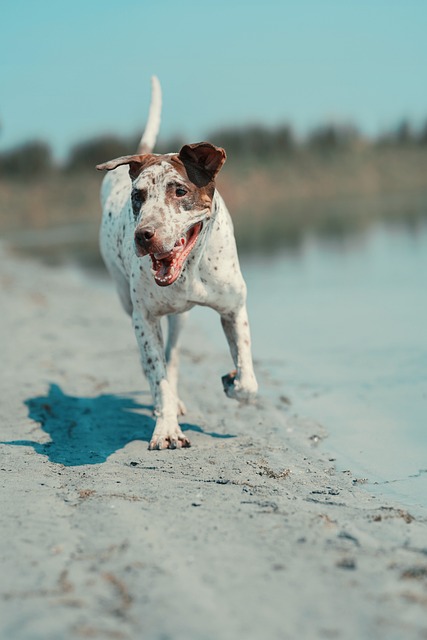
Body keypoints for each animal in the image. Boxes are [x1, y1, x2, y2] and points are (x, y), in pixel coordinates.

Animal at [97, 77, 258, 450]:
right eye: (137, 196)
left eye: (180, 191)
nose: (144, 235)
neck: (191, 270)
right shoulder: (144, 318)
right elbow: (156, 375)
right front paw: (166, 427)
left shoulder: (234, 308)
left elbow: (247, 382)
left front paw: (233, 379)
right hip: (128, 303)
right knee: (152, 365)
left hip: (180, 319)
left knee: (173, 356)